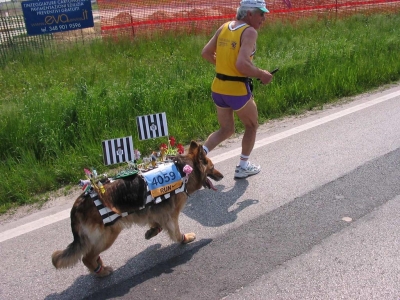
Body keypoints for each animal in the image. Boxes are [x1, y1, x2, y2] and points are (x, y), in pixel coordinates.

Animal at [51, 142, 223, 278]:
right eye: (213, 167)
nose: (221, 176)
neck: (184, 170)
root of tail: (79, 202)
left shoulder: (155, 210)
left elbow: (156, 223)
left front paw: (152, 231)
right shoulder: (171, 215)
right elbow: (175, 232)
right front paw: (184, 238)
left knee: (91, 256)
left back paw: (99, 265)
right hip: (109, 233)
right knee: (86, 257)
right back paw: (102, 272)